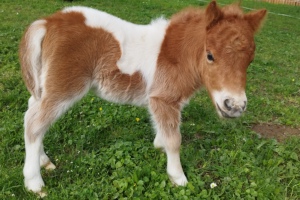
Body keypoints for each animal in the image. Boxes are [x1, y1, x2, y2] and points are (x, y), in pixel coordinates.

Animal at [19, 1, 266, 195]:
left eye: (251, 60)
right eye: (210, 55)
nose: (234, 106)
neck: (176, 54)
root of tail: (49, 22)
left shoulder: (162, 100)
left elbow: (164, 129)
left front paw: (159, 145)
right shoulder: (163, 99)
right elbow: (175, 139)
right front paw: (178, 178)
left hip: (45, 83)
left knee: (32, 110)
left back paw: (44, 160)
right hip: (65, 88)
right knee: (34, 123)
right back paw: (34, 183)